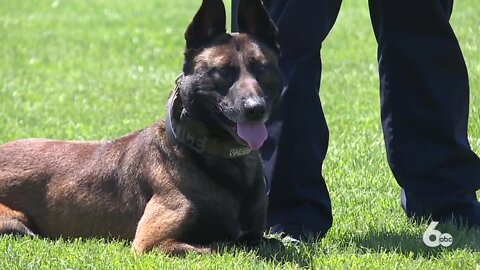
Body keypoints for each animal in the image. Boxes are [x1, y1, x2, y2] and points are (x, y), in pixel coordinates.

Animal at [0, 0, 284, 255]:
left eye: (262, 67)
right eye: (222, 71)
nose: (255, 108)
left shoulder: (256, 235)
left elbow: (272, 242)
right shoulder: (151, 243)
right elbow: (220, 247)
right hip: (17, 224)